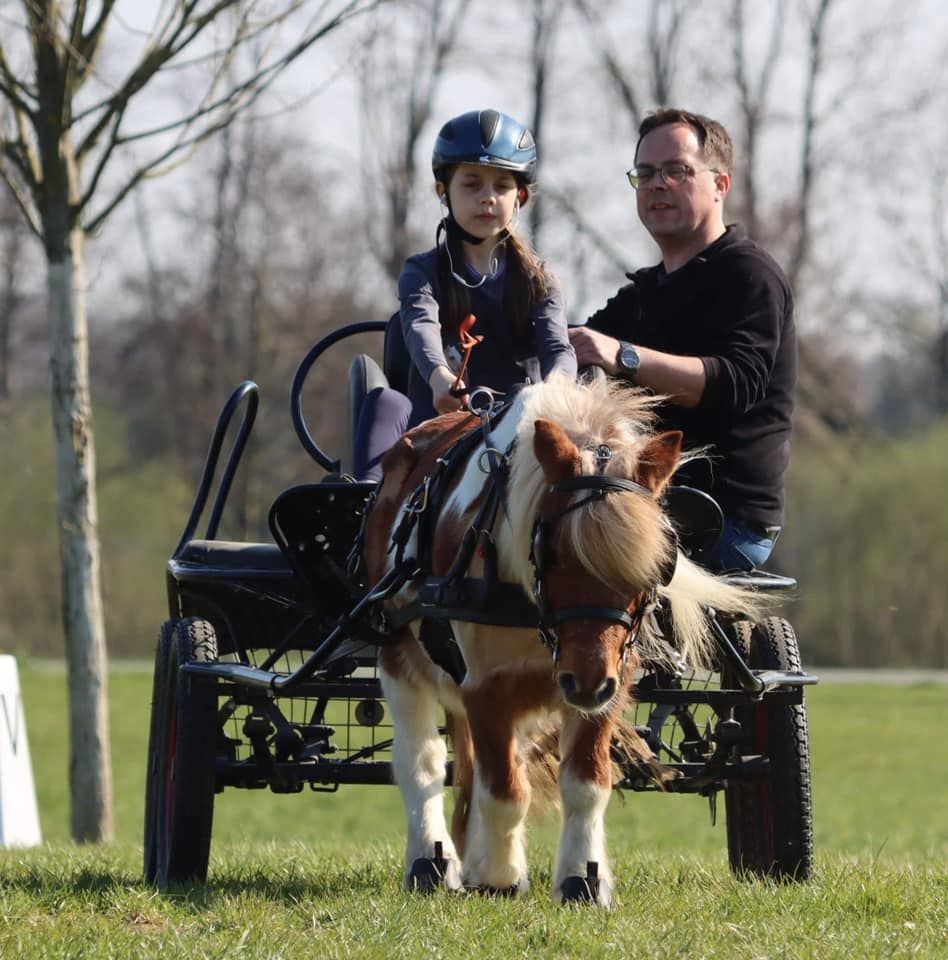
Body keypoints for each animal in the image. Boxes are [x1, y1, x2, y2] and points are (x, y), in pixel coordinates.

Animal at [362, 376, 764, 908]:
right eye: (548, 550)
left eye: (658, 563)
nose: (587, 680)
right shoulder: (486, 686)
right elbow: (504, 789)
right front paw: (500, 878)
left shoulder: (609, 685)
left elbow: (585, 784)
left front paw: (583, 878)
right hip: (398, 655)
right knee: (422, 765)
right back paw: (432, 861)